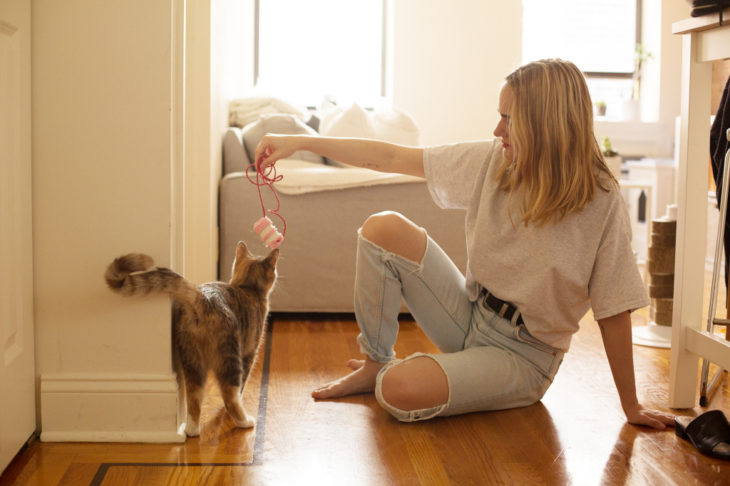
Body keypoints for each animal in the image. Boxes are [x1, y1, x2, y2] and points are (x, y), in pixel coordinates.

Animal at [105, 240, 278, 436]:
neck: (248, 288)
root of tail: (203, 297)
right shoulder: (250, 353)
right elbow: (241, 386)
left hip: (192, 360)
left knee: (194, 398)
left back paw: (192, 430)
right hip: (230, 358)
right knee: (230, 396)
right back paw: (245, 421)